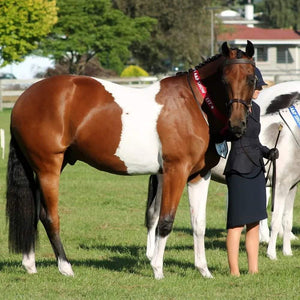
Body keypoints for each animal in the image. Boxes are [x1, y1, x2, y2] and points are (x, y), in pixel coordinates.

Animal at [5, 41, 255, 278]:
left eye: (251, 79)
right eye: (224, 79)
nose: (237, 125)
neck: (193, 105)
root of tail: (23, 99)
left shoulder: (199, 175)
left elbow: (199, 224)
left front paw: (204, 270)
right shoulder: (176, 171)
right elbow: (165, 221)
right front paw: (157, 269)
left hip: (46, 167)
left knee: (33, 214)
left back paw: (30, 264)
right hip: (48, 168)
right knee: (50, 217)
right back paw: (65, 267)